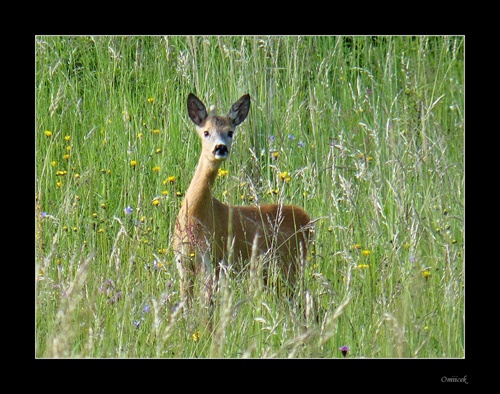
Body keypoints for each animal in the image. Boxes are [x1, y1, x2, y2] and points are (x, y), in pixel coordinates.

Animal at [174, 93, 310, 308]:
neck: (194, 215)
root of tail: (308, 219)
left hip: (291, 266)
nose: (220, 148)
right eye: (206, 132)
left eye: (230, 132)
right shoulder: (182, 261)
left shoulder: (212, 259)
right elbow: (186, 306)